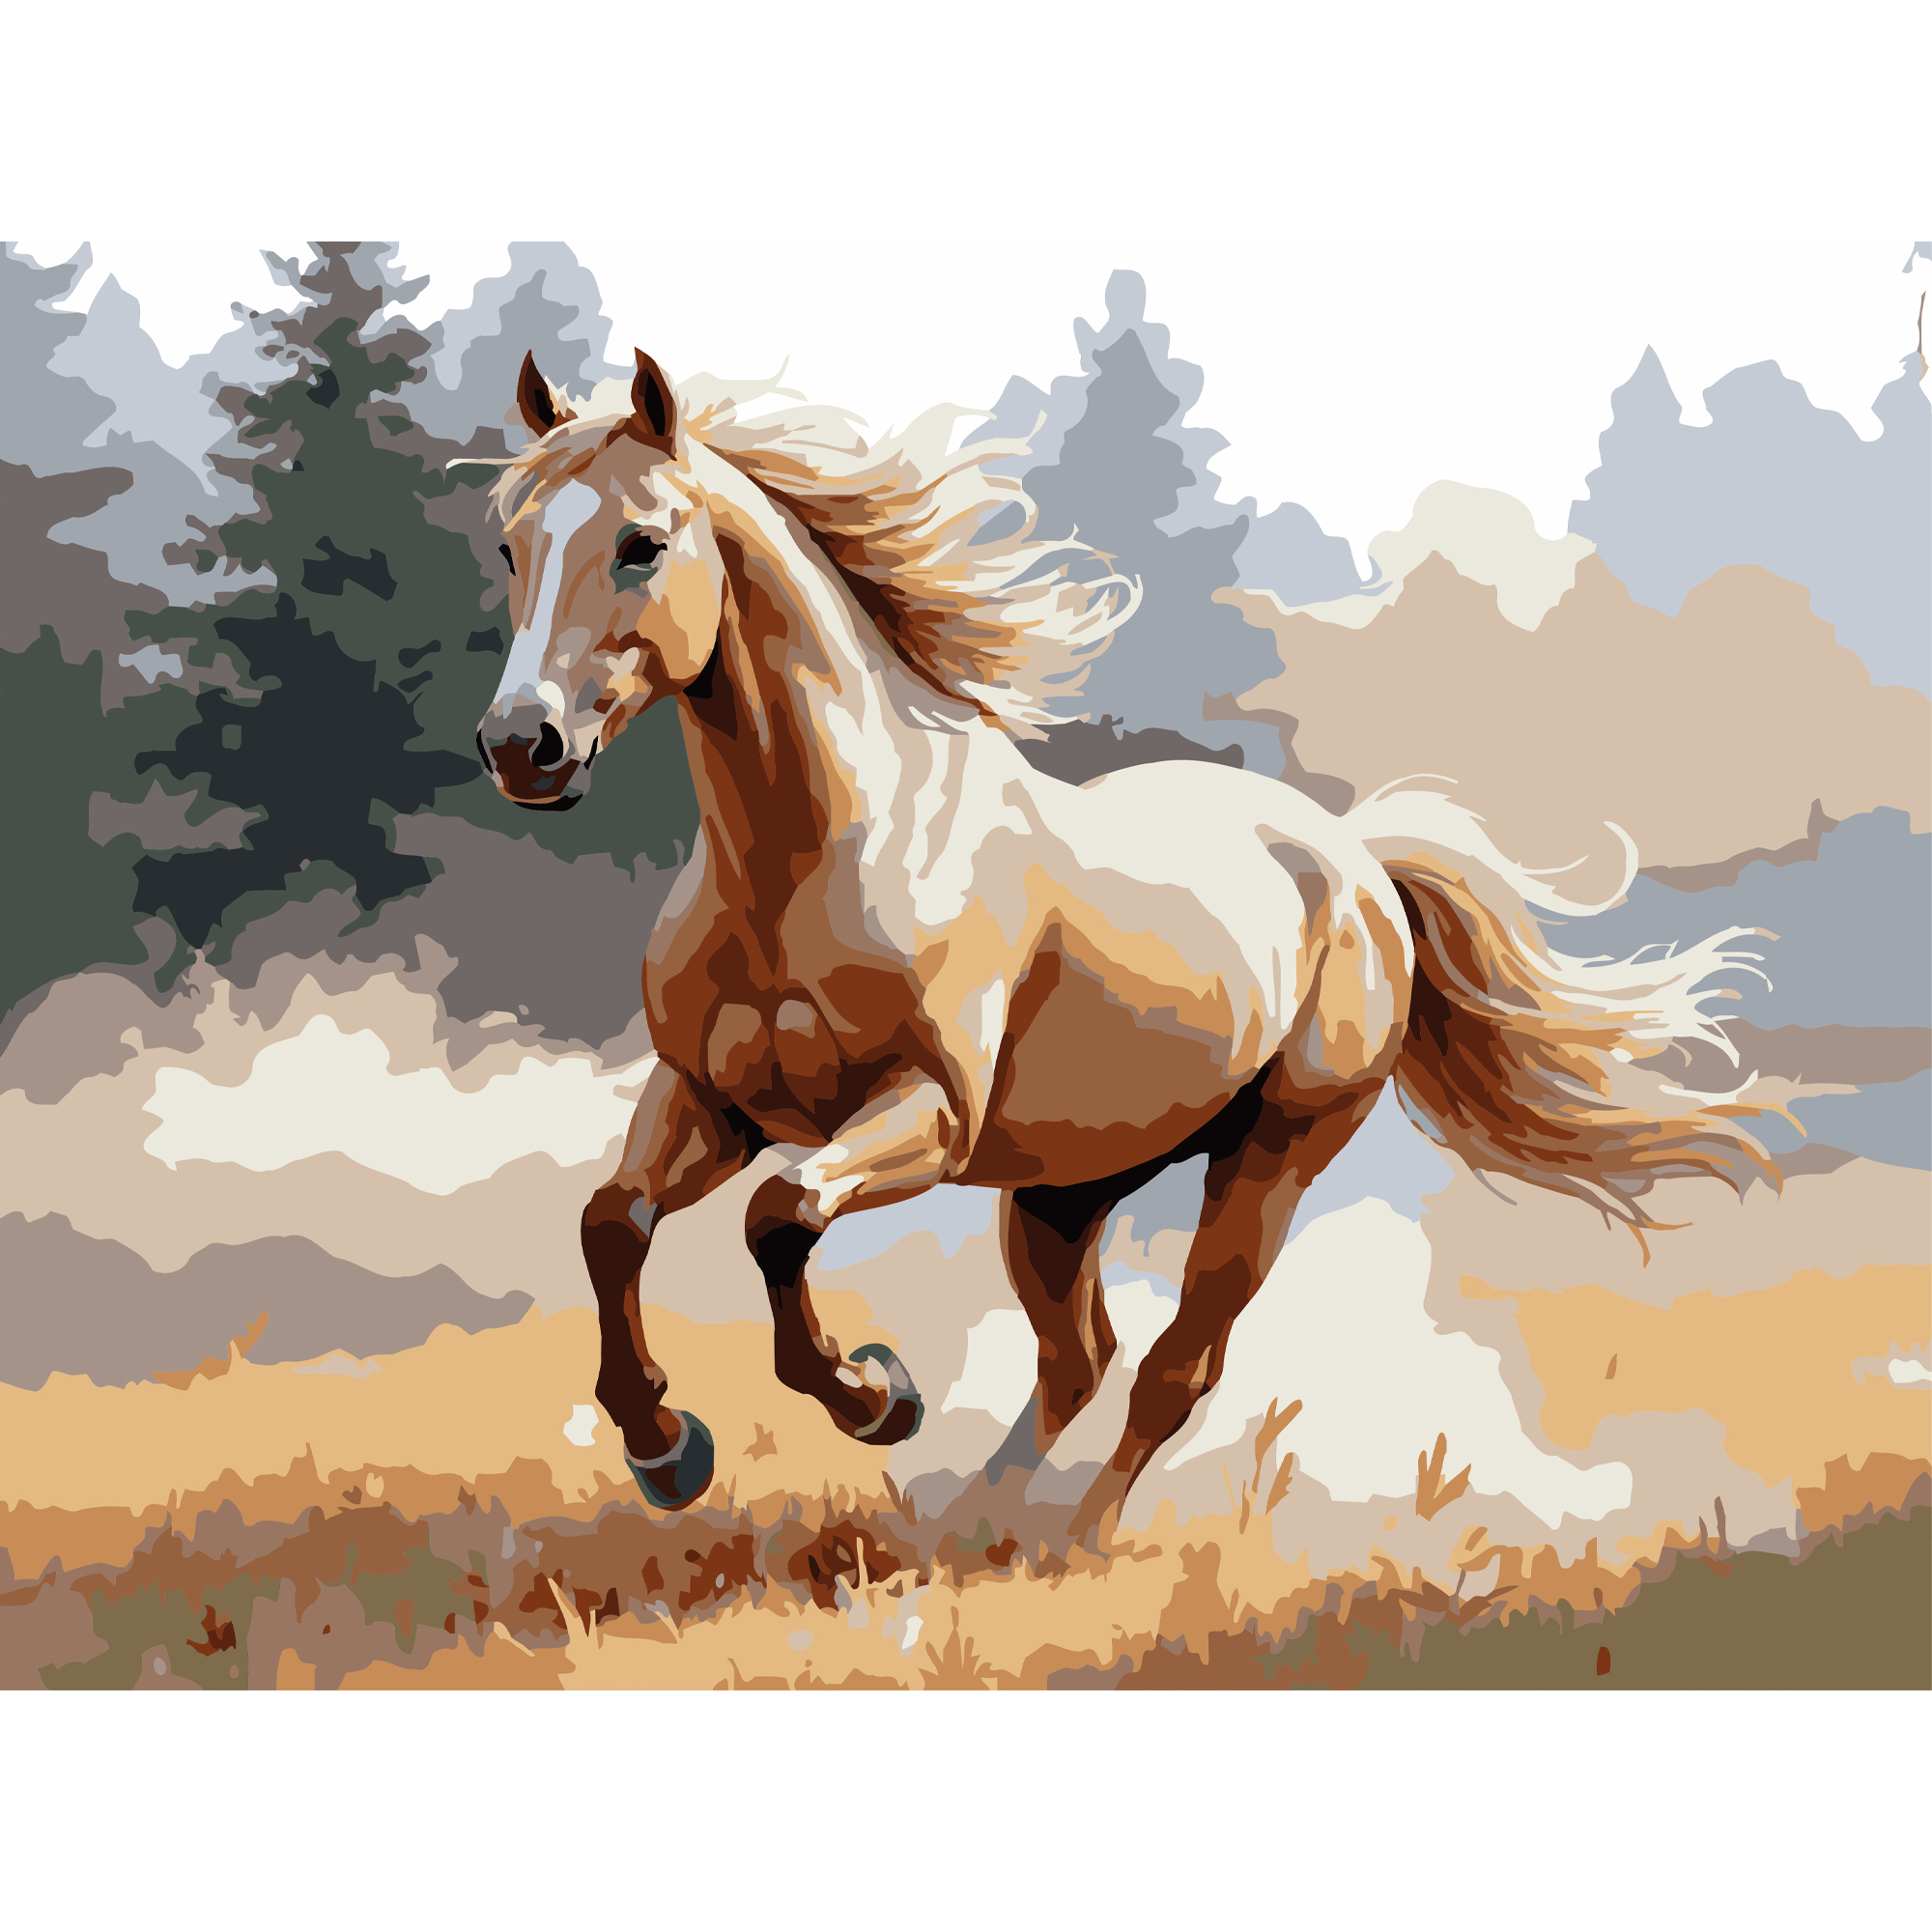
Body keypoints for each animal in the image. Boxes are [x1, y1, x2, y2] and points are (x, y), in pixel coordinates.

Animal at [474, 347, 1778, 1539]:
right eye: (509, 546)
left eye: (642, 542)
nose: (521, 745)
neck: (825, 853)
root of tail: (1358, 862)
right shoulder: (707, 1097)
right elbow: (610, 1222)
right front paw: (664, 1448)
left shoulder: (925, 1116)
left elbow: (779, 1215)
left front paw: (874, 1394)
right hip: (1065, 1189)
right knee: (1079, 1357)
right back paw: (966, 1533)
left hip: (1269, 1157)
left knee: (1172, 1367)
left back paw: (1068, 1548)